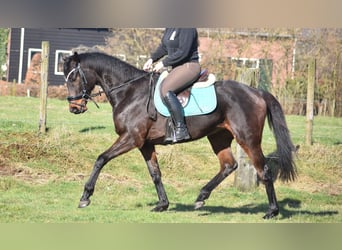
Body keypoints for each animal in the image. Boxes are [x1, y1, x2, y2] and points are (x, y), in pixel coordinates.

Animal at [63, 51, 296, 219]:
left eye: (73, 77)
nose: (74, 108)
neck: (129, 92)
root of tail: (257, 92)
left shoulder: (130, 138)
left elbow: (101, 159)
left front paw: (85, 197)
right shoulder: (145, 144)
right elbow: (155, 174)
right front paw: (162, 204)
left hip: (248, 139)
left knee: (263, 170)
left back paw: (271, 211)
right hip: (218, 137)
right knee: (228, 165)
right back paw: (201, 197)